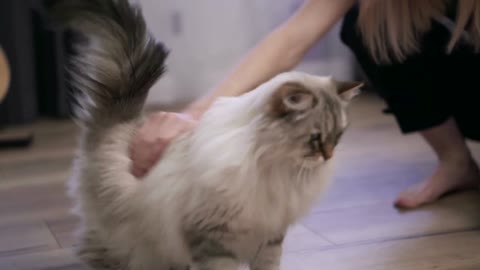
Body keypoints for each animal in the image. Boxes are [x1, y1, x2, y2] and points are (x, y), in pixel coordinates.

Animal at [49, 0, 364, 270]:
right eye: (316, 138)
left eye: (338, 137)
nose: (328, 156)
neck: (273, 167)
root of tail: (121, 121)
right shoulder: (214, 239)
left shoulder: (269, 237)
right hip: (128, 244)